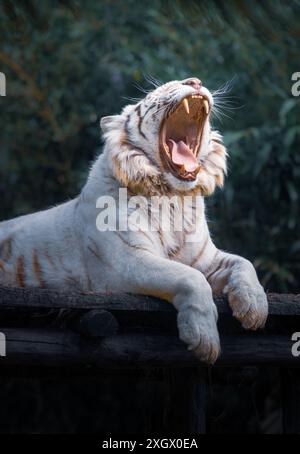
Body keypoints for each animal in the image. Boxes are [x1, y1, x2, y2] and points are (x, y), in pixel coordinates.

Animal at [0, 77, 268, 362]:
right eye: (161, 90)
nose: (195, 81)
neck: (173, 198)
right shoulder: (123, 262)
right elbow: (191, 277)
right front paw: (203, 340)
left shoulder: (205, 258)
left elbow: (244, 263)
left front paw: (254, 307)